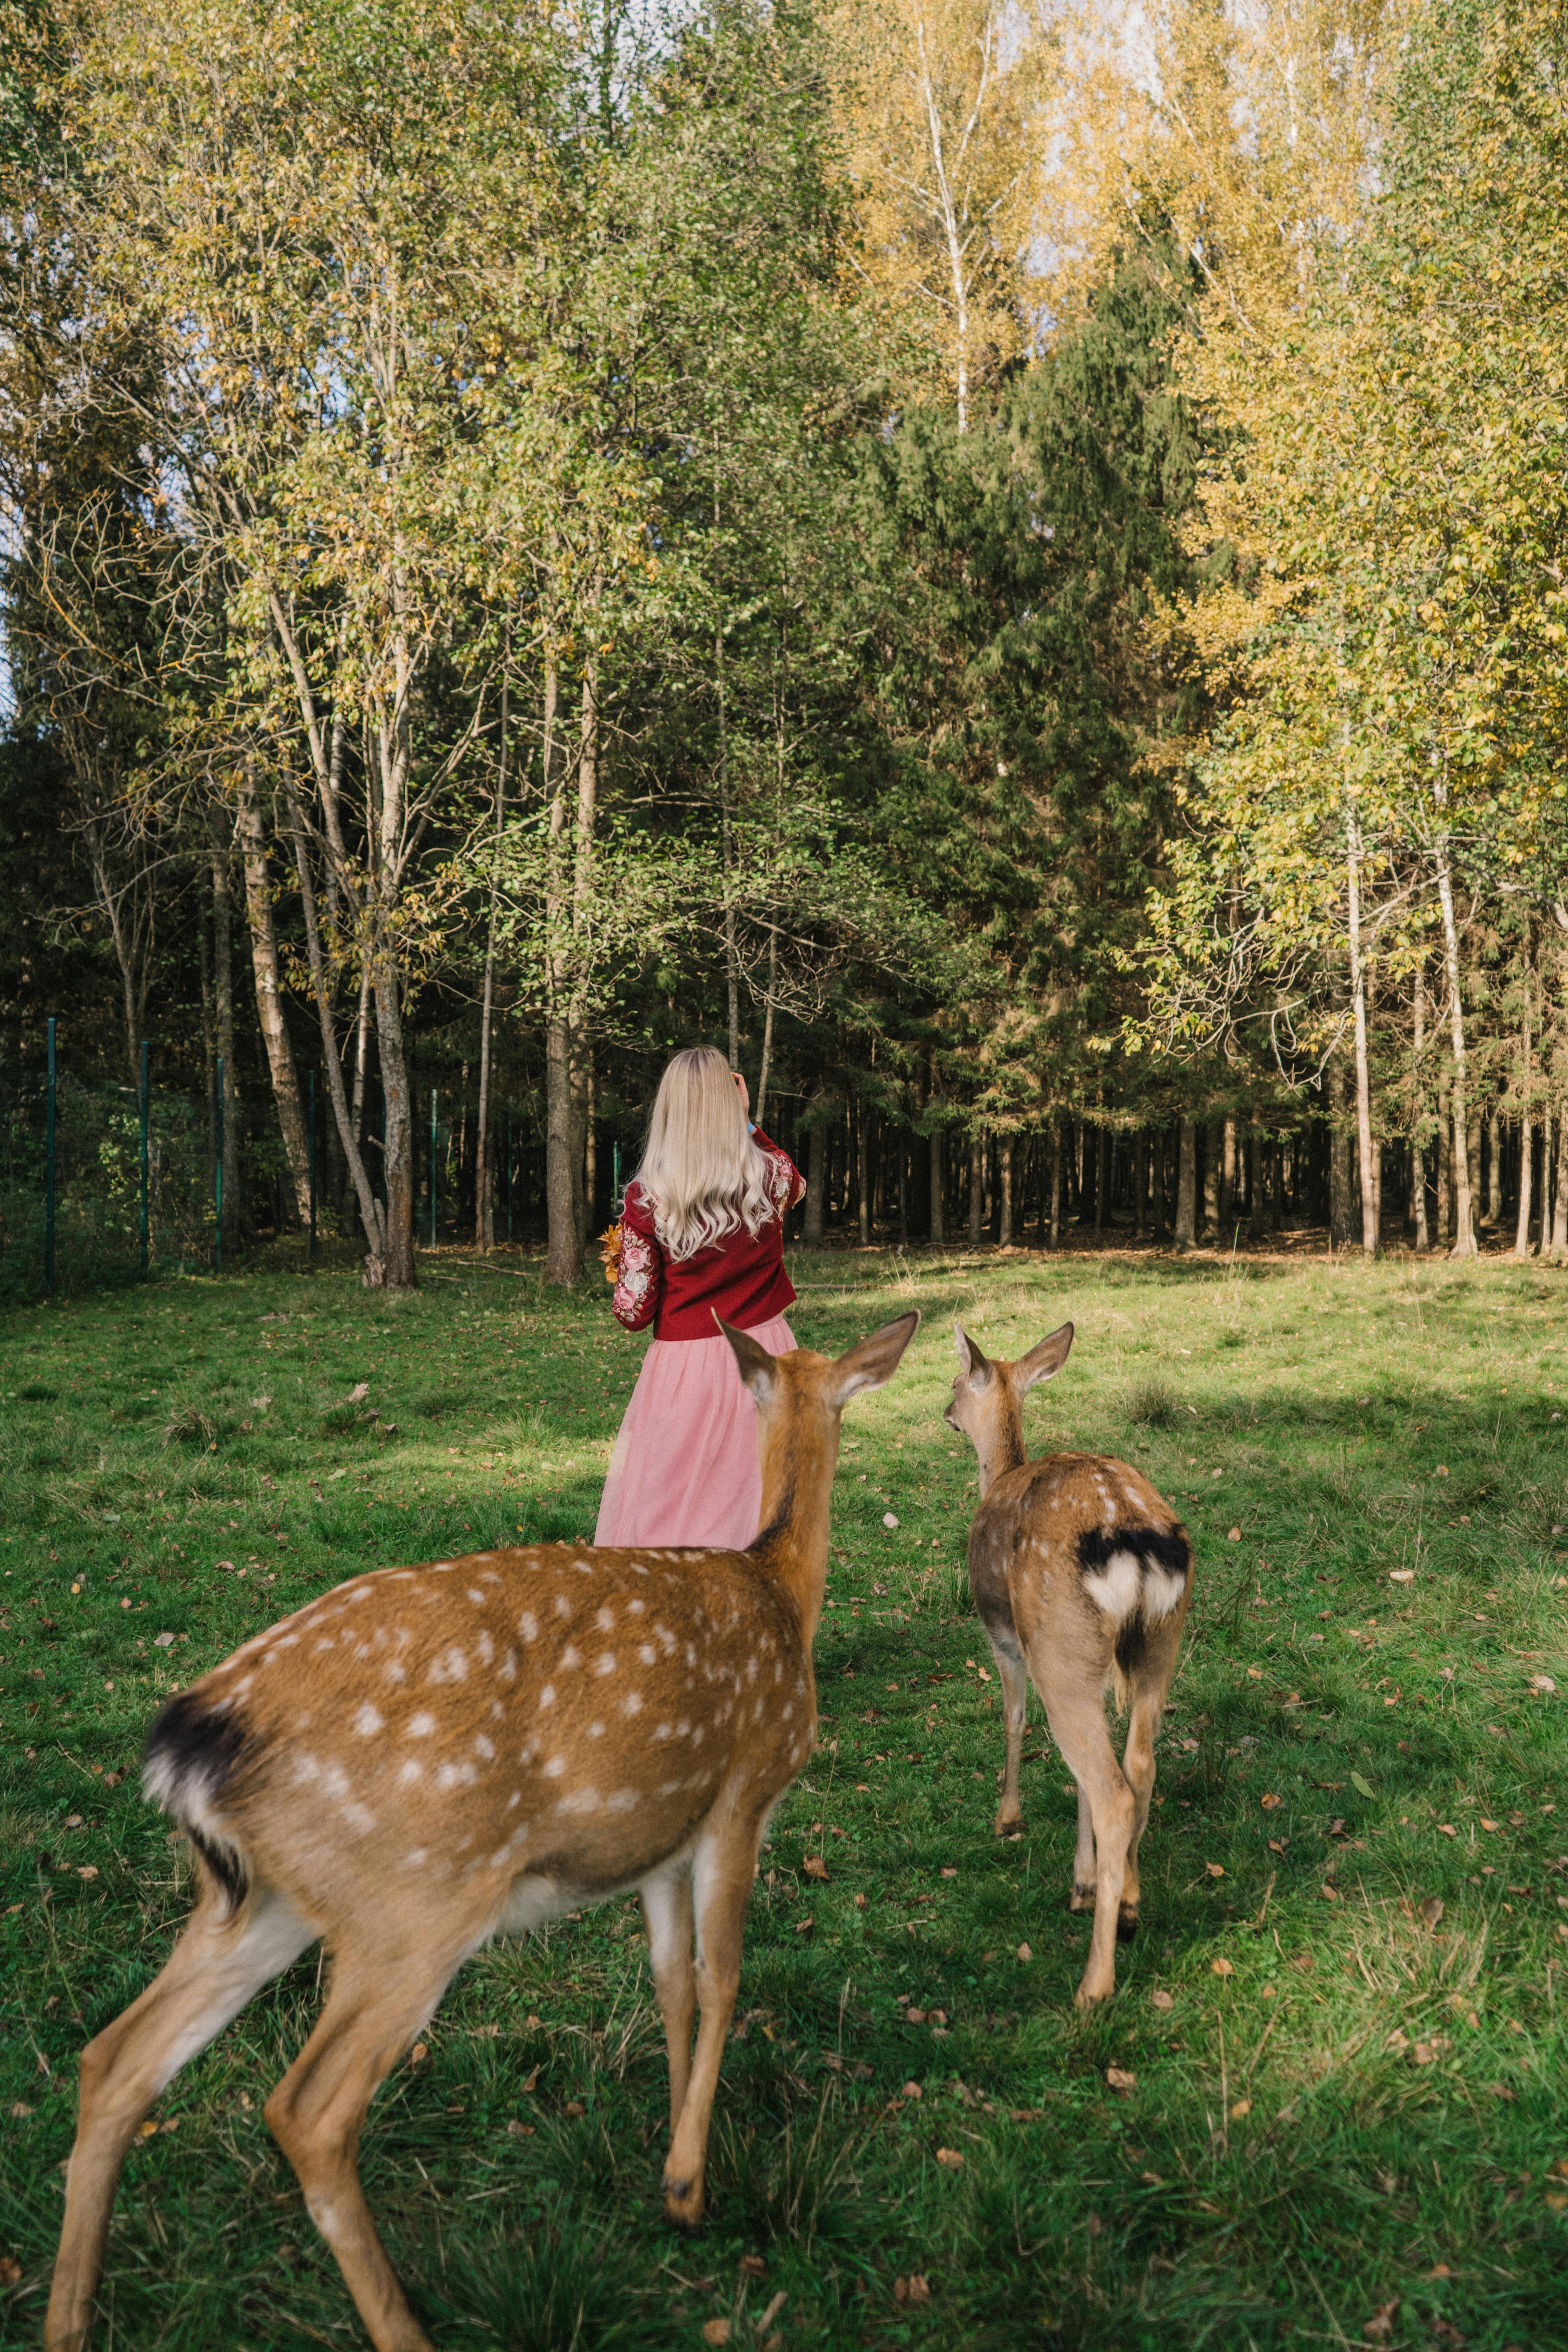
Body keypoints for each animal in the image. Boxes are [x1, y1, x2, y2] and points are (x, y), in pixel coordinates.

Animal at [46, 1308, 921, 2352]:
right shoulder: (744, 1792)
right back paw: (405, 2328)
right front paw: (687, 2184)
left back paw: (67, 2320)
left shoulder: (656, 1837)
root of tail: (196, 1738)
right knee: (307, 2110)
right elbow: (722, 1978)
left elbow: (669, 1982)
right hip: (419, 1897)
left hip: (261, 1899)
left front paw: (672, 2157)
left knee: (115, 2057)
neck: (778, 1584)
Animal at [950, 1327, 1194, 2004]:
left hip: (1059, 1644)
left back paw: (1095, 1983)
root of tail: (1130, 1538)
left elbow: (1014, 1719)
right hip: (1157, 1643)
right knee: (1139, 1767)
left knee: (1112, 1790)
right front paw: (1086, 1884)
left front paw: (1007, 1819)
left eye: (955, 1382)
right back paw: (1130, 1907)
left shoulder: (1003, 1636)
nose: (947, 1412)